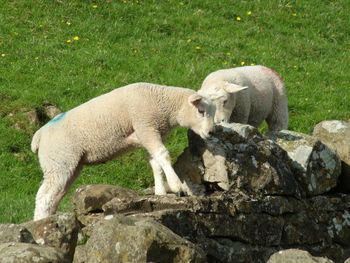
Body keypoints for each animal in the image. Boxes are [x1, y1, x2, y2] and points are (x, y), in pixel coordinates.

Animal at [30, 82, 216, 221]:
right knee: (44, 197)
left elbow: (155, 162)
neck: (165, 105)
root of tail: (39, 135)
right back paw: (41, 223)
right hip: (58, 161)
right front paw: (176, 185)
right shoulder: (146, 127)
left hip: (69, 164)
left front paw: (160, 192)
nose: (211, 132)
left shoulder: (150, 134)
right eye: (201, 111)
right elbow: (163, 155)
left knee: (55, 195)